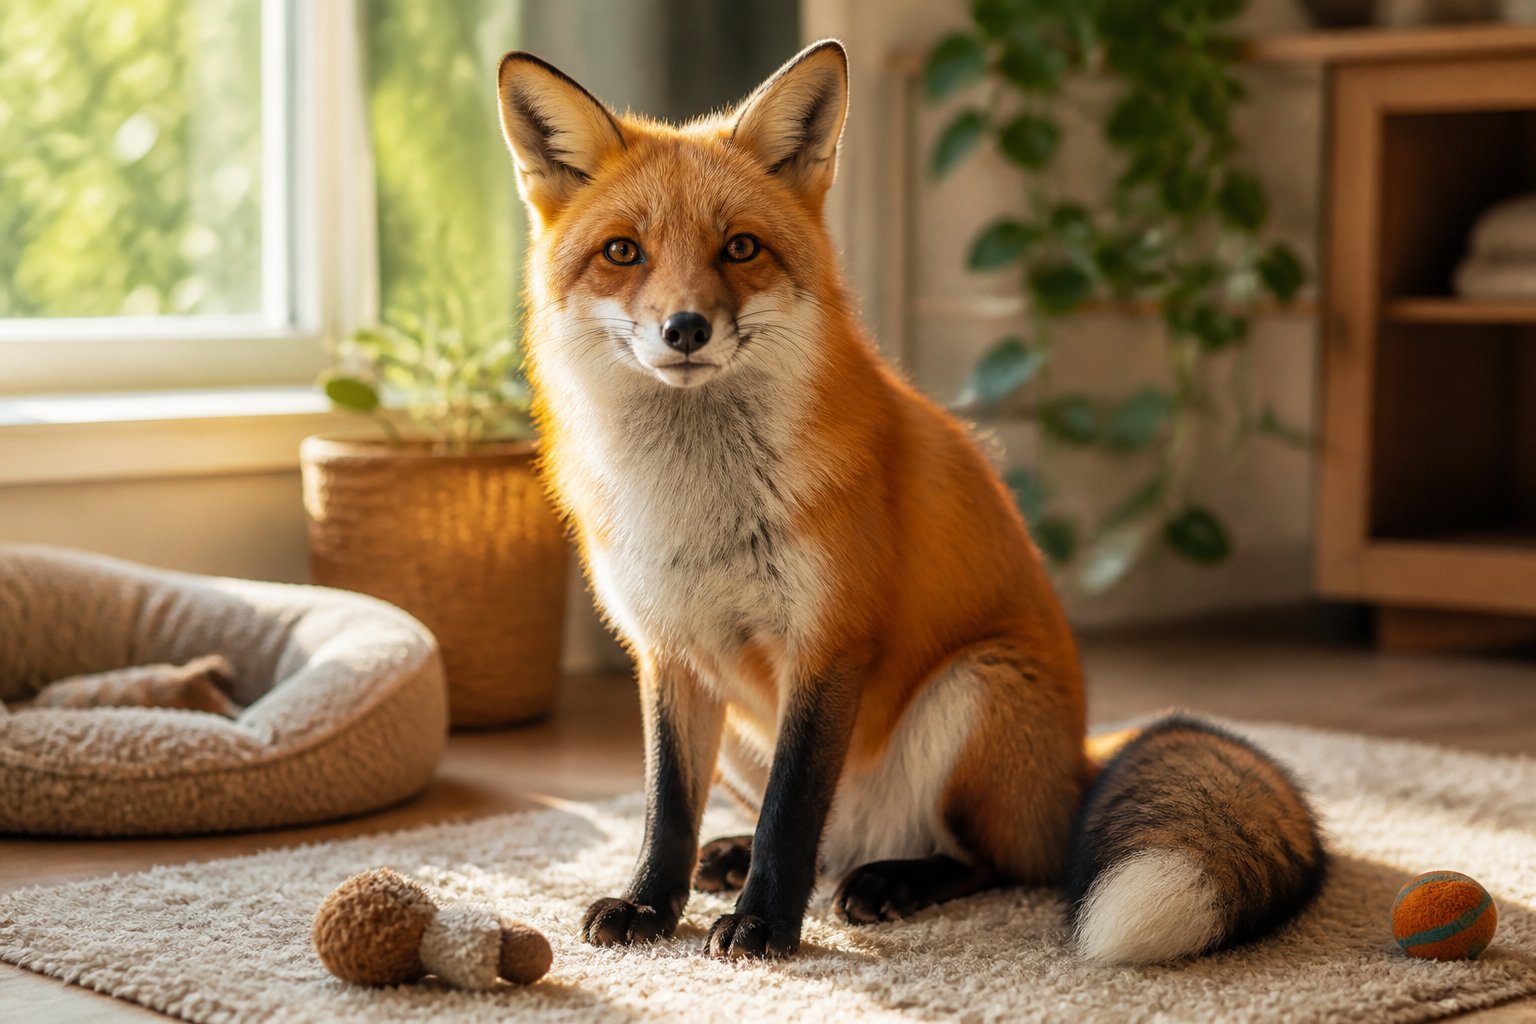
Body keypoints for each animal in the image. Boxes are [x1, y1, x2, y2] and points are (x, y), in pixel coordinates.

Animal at [495, 39, 1326, 963]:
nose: (684, 329)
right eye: (623, 252)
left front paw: (763, 923)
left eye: (740, 247)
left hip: (971, 690)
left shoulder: (828, 641)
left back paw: (891, 881)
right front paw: (649, 904)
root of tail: (1080, 760)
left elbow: (792, 813)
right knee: (835, 839)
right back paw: (741, 856)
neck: (697, 502)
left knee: (997, 861)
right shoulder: (670, 651)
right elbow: (667, 807)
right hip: (751, 733)